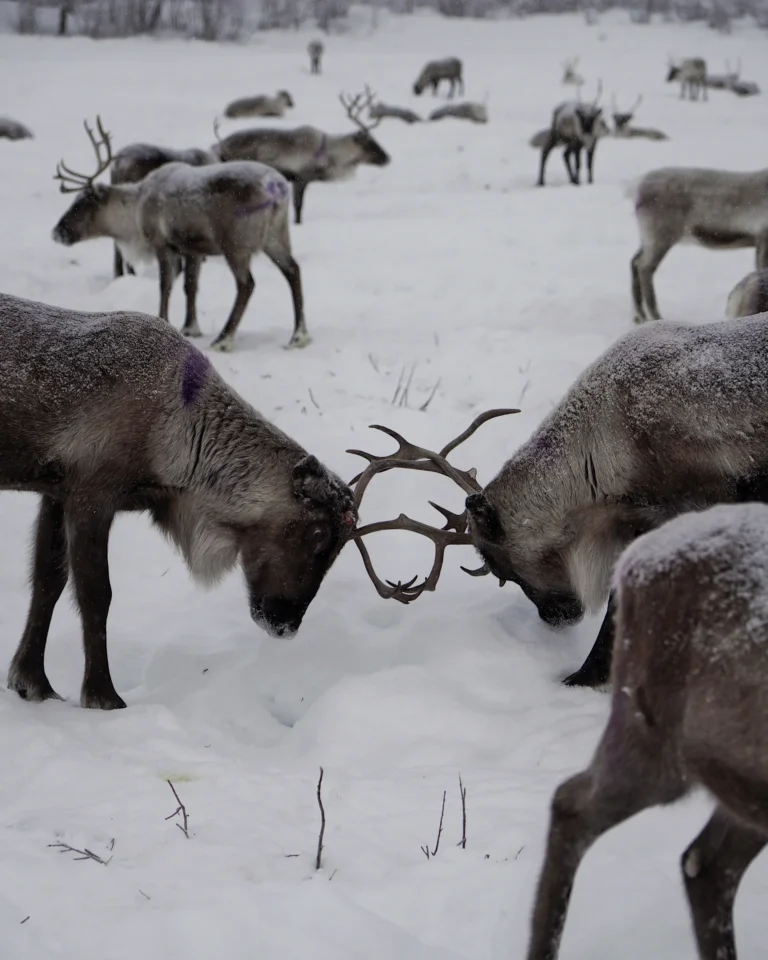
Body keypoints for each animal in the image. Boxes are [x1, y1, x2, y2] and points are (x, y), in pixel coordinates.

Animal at [0, 291, 357, 710]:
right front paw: (104, 696)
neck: (175, 437)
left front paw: (31, 681)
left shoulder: (56, 492)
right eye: (318, 534)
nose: (285, 624)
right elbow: (96, 595)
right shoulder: (91, 496)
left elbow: (47, 581)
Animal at [212, 87, 391, 226]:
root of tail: (217, 146)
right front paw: (298, 224)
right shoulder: (300, 177)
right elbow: (298, 206)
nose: (388, 158)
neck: (330, 153)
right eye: (368, 143)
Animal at [629, 164, 768, 323]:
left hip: (648, 238)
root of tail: (636, 188)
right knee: (644, 267)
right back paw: (655, 316)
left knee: (634, 261)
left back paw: (639, 316)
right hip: (661, 235)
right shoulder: (763, 235)